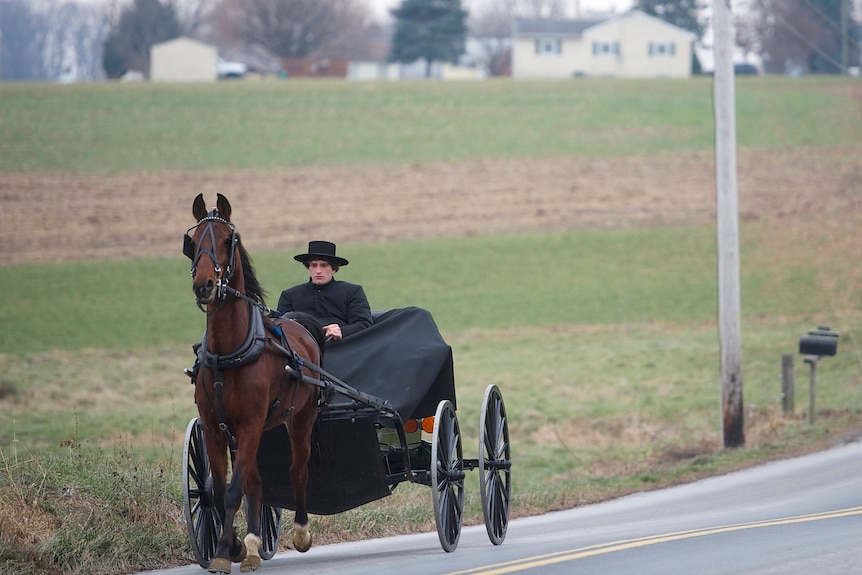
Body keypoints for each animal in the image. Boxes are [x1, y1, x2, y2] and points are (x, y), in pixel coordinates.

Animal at [186, 193, 325, 573]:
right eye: (193, 242)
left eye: (227, 240)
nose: (204, 285)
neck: (228, 353)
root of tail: (300, 325)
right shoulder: (215, 428)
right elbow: (219, 491)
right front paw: (232, 546)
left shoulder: (250, 424)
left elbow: (234, 491)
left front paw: (222, 551)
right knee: (256, 482)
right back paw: (251, 546)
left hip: (300, 417)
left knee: (298, 467)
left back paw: (301, 532)